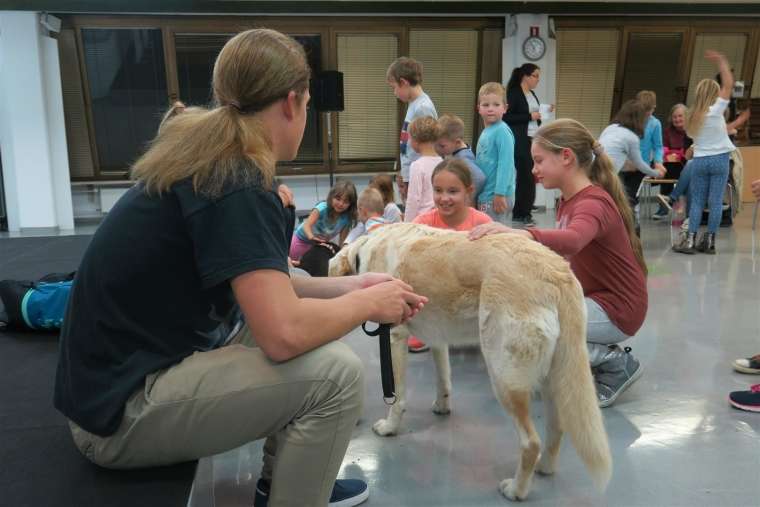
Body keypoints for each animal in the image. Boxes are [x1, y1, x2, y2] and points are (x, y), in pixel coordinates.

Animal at [328, 224, 612, 502]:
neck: (364, 251)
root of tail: (557, 273)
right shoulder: (438, 338)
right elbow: (444, 380)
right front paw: (442, 407)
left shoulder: (394, 337)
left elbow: (397, 399)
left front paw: (390, 427)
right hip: (553, 380)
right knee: (557, 428)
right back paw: (544, 469)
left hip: (504, 377)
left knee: (531, 443)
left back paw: (516, 490)